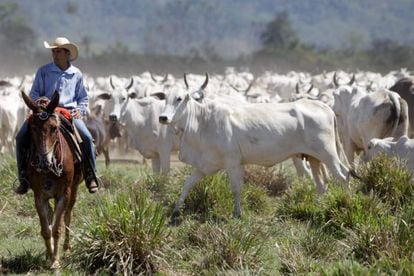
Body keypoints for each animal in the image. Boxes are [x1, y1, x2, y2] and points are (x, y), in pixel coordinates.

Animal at [21, 91, 83, 270]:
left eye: (54, 128)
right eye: (33, 128)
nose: (44, 161)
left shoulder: (64, 194)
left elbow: (57, 228)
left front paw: (56, 261)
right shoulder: (39, 196)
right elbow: (46, 228)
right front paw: (50, 255)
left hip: (73, 190)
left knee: (67, 216)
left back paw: (66, 248)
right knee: (50, 214)